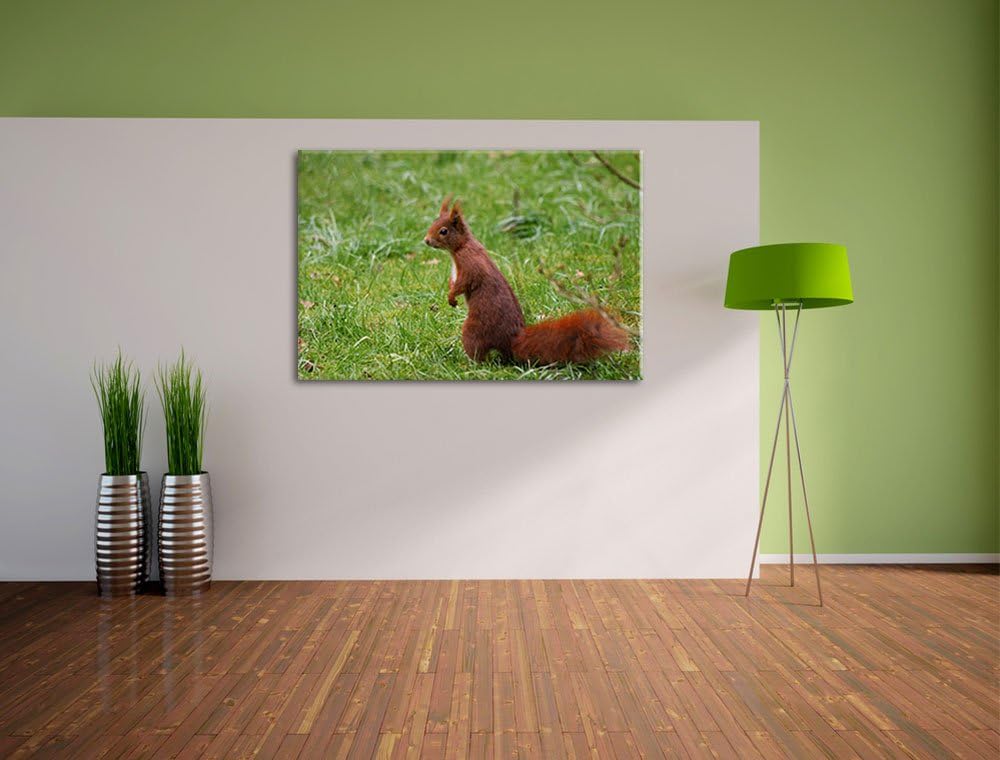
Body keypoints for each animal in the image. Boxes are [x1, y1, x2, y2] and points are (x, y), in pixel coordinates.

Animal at [423, 196, 631, 365]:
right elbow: (453, 282)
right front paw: (450, 297)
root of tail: (511, 339)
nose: (426, 240)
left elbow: (465, 282)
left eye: (443, 231)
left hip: (474, 330)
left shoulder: (470, 265)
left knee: (478, 352)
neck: (460, 248)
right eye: (433, 222)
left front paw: (451, 296)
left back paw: (468, 363)